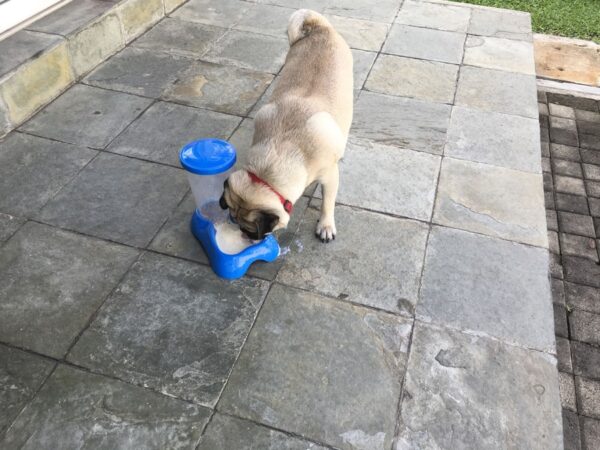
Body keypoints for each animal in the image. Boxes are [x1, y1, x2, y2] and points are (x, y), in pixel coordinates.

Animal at [219, 7, 352, 243]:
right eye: (235, 222)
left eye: (251, 230)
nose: (247, 237)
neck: (278, 154)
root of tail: (319, 27)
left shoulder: (330, 176)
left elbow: (327, 203)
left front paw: (326, 225)